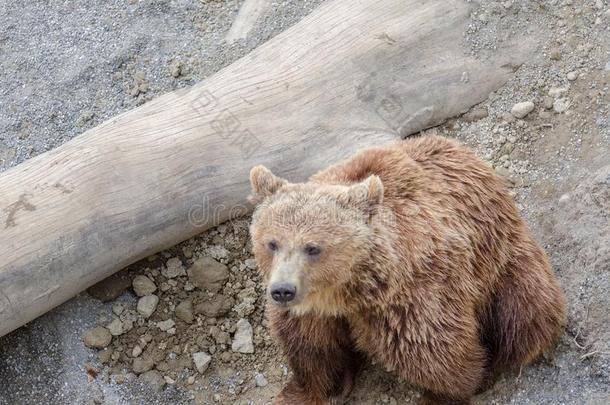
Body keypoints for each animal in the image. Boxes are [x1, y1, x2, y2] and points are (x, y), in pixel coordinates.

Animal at [247, 135, 564, 400]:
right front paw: (308, 391)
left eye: (313, 247)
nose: (283, 290)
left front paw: (445, 393)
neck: (346, 294)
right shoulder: (312, 315)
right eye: (272, 243)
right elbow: (312, 352)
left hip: (502, 260)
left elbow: (437, 355)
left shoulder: (410, 300)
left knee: (525, 314)